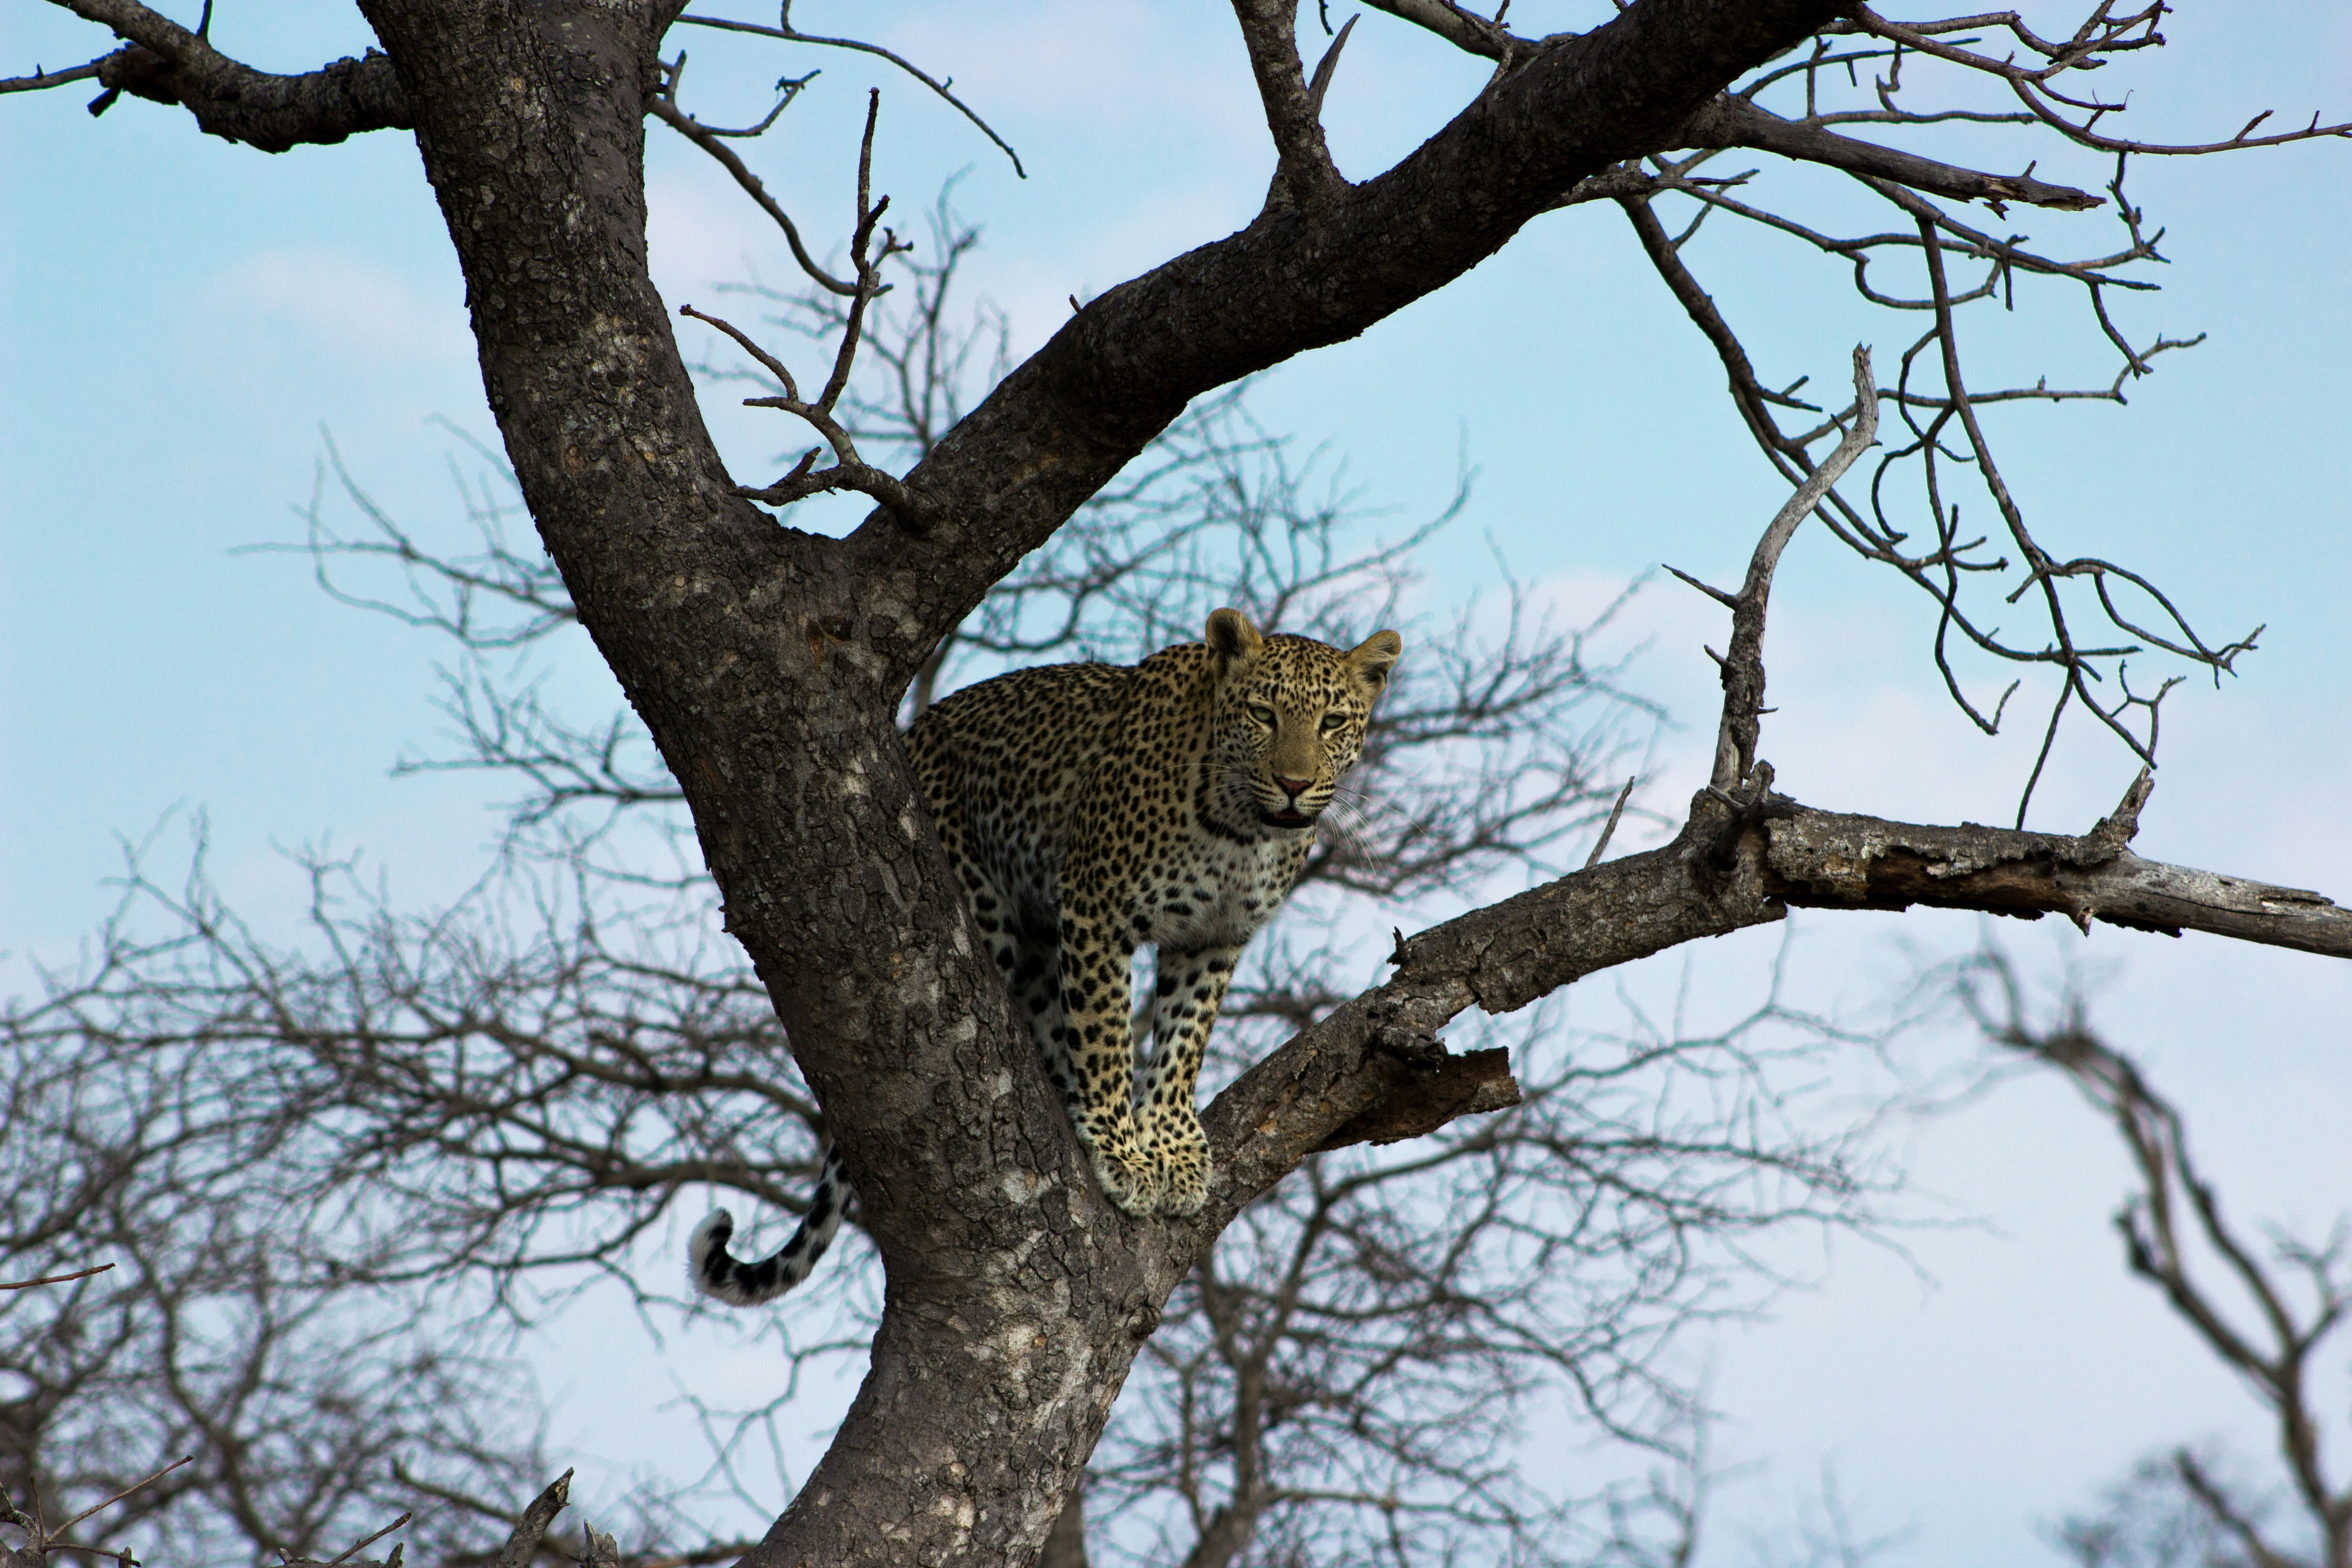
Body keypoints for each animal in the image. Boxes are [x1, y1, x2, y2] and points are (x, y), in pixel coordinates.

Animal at [690, 608, 1402, 1307]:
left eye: (1332, 723)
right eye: (1262, 713)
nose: (1294, 784)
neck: (1243, 829)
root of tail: (914, 731)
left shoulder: (1213, 939)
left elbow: (1184, 1041)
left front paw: (1173, 1147)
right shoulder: (1097, 906)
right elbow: (1108, 1036)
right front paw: (1123, 1152)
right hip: (981, 903)